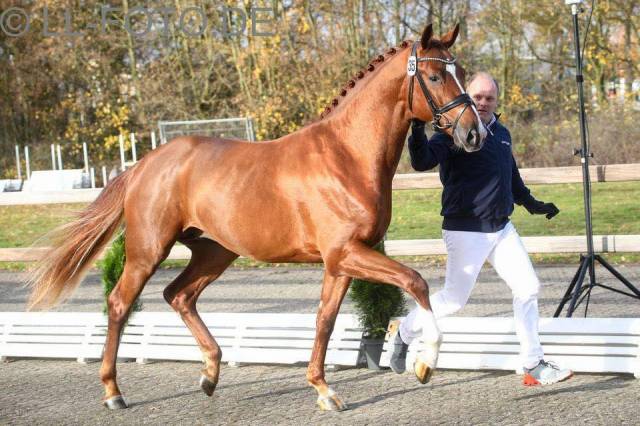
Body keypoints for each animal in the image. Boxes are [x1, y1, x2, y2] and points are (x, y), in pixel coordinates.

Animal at [26, 24, 484, 412]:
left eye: (460, 71)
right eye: (437, 76)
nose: (473, 134)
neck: (347, 155)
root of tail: (145, 164)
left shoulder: (340, 262)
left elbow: (325, 319)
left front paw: (323, 390)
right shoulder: (346, 253)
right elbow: (415, 281)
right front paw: (425, 363)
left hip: (214, 252)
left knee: (179, 295)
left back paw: (210, 374)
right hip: (148, 250)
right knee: (121, 303)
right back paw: (114, 392)